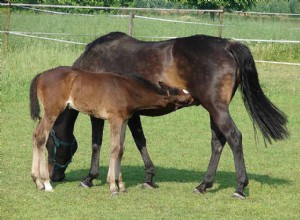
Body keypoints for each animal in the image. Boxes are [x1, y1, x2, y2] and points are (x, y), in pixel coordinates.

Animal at [45, 33, 288, 199]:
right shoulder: (131, 114)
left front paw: (89, 178)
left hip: (217, 108)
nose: (54, 177)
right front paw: (149, 178)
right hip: (214, 110)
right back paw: (203, 185)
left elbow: (97, 143)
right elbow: (140, 141)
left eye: (49, 146)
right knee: (218, 142)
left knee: (234, 138)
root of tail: (227, 46)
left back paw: (239, 187)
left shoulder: (100, 115)